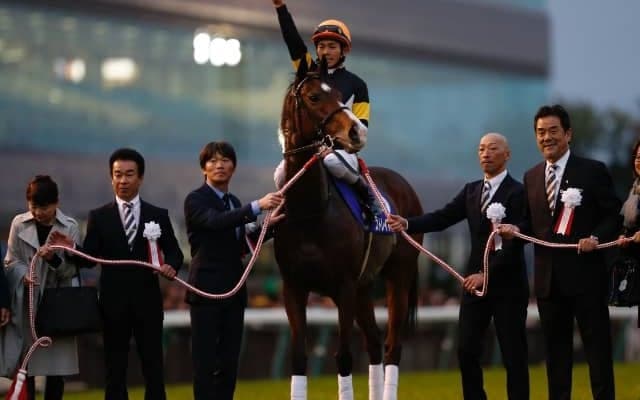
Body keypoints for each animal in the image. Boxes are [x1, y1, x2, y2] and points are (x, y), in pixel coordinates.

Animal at [273, 59, 424, 400]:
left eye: (342, 95)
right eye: (314, 97)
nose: (356, 131)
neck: (311, 213)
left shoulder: (342, 286)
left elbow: (342, 356)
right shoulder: (294, 287)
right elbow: (298, 357)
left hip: (398, 276)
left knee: (392, 345)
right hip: (364, 286)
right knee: (374, 342)